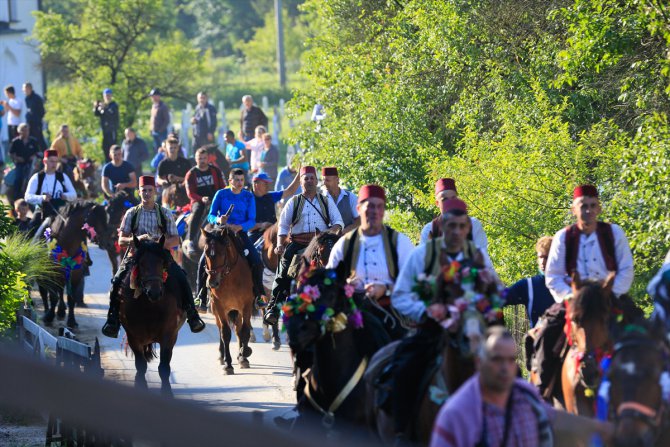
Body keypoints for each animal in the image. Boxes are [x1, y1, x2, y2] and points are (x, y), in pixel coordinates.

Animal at [119, 236, 186, 398]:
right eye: (141, 264)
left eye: (162, 262)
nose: (154, 292)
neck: (150, 307)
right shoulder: (133, 337)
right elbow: (141, 366)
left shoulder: (169, 336)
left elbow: (164, 368)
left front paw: (167, 393)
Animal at [202, 226, 255, 376]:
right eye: (206, 252)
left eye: (221, 252)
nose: (212, 283)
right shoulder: (219, 306)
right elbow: (225, 333)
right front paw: (228, 364)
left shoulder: (247, 305)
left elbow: (245, 331)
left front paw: (244, 354)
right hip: (217, 310)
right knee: (220, 328)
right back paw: (222, 356)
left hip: (237, 310)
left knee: (238, 330)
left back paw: (241, 355)